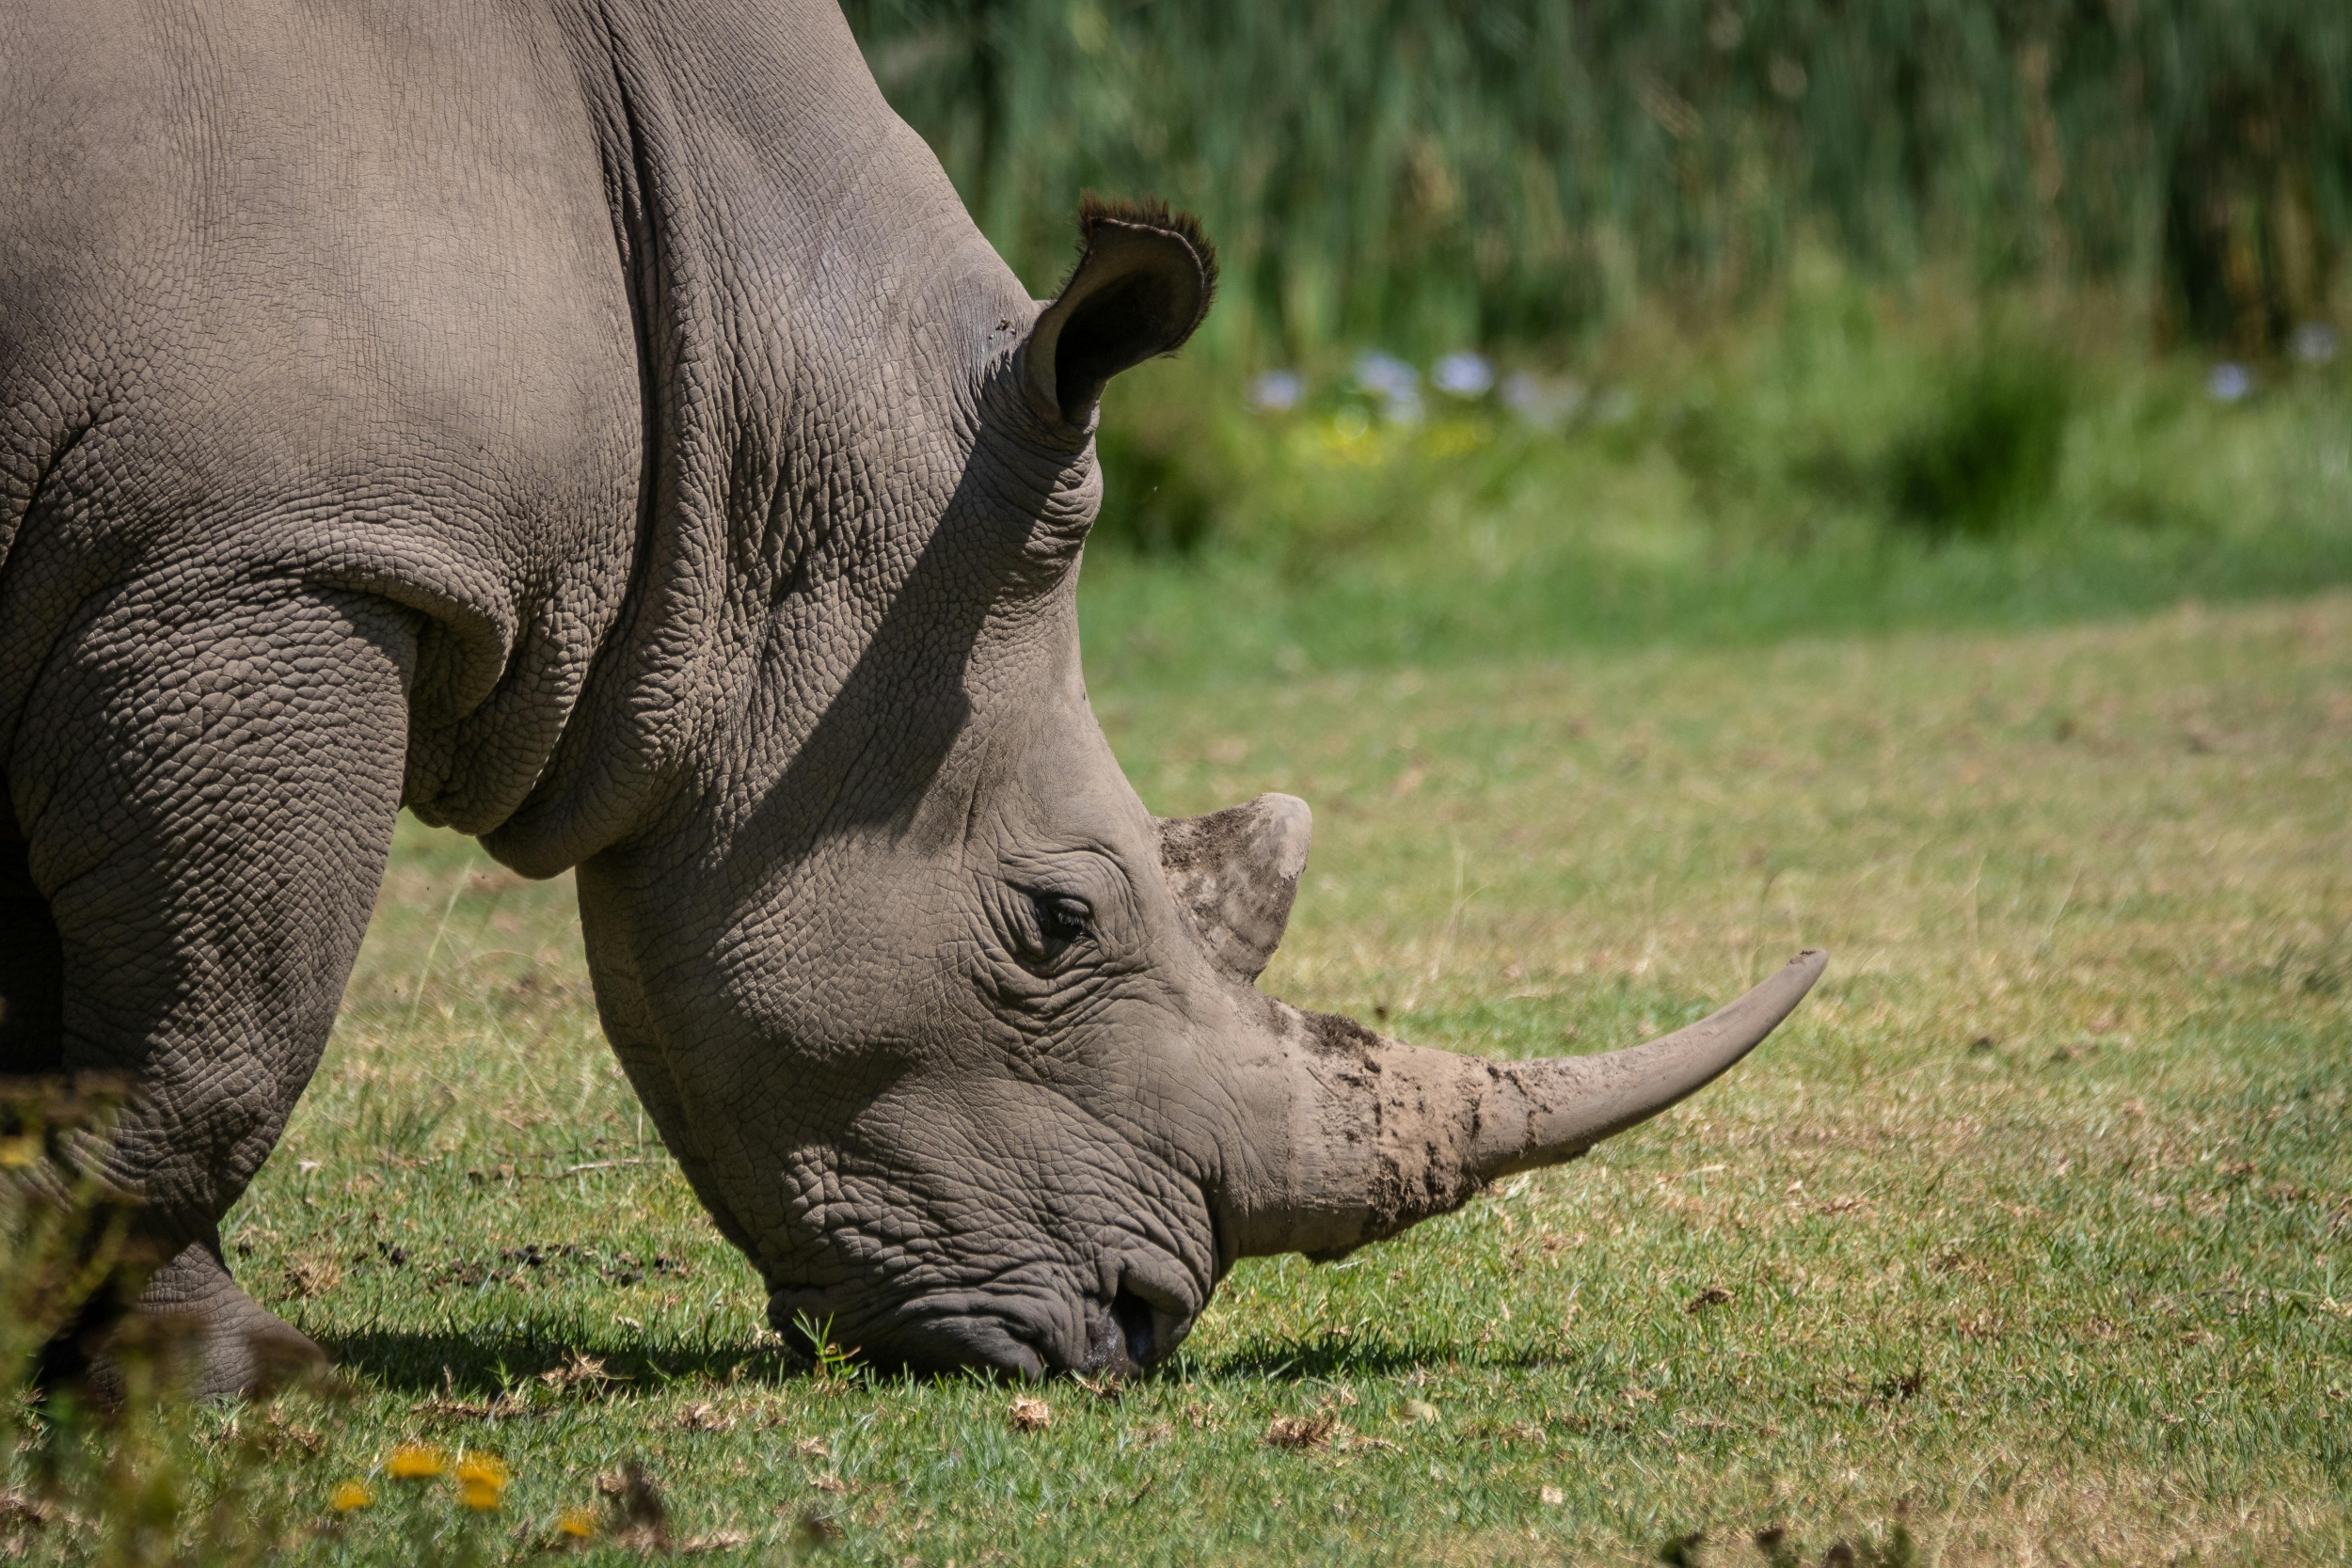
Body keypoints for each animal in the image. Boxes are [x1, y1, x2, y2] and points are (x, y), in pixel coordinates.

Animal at [0, 0, 1824, 1394]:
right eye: (1056, 921)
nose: (1138, 1331)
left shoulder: (145, 563)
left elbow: (107, 1029)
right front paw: (185, 1358)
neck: (743, 378)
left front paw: (172, 1363)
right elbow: (222, 1036)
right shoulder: (263, 557)